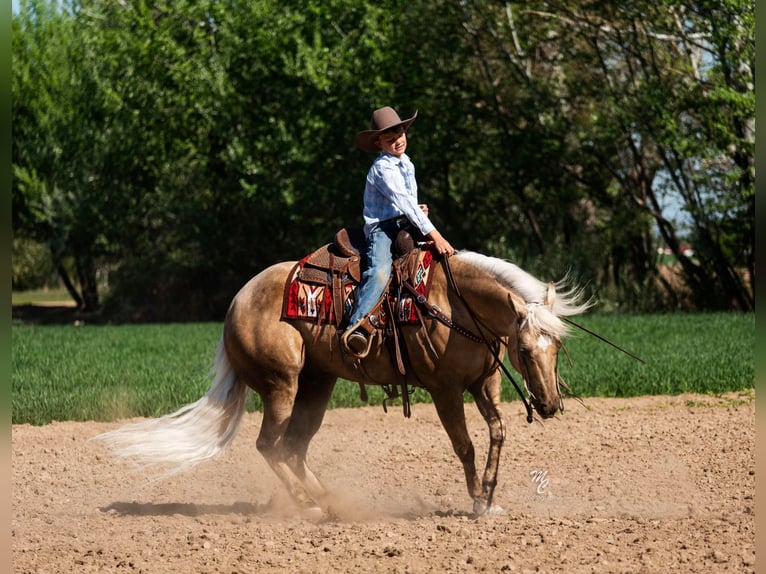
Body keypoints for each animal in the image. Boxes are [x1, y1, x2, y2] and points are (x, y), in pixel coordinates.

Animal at [94, 252, 588, 516]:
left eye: (557, 347)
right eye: (525, 349)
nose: (549, 405)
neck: (453, 303)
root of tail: (235, 304)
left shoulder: (484, 385)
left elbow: (498, 433)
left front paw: (488, 497)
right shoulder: (445, 389)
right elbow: (464, 445)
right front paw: (475, 501)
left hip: (317, 385)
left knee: (294, 447)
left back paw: (330, 500)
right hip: (282, 386)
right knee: (270, 445)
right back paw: (309, 506)